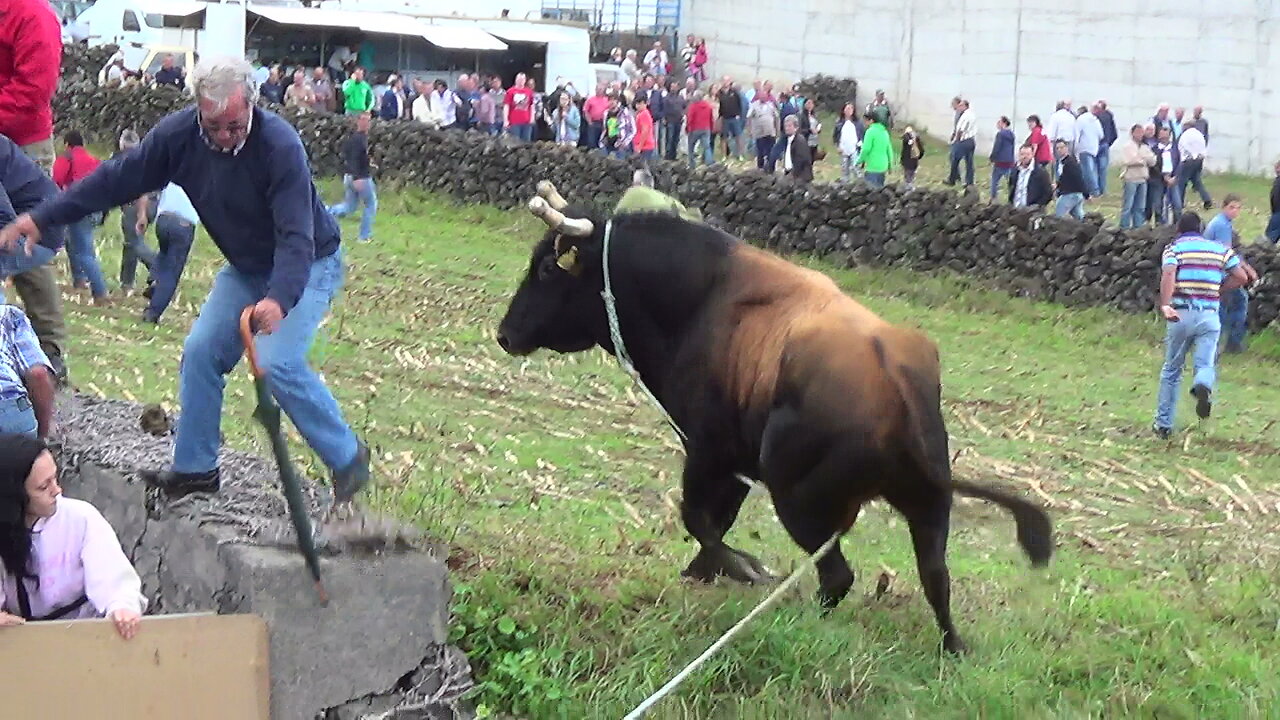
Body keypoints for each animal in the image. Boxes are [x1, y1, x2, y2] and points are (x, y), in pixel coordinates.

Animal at [491, 180, 1049, 650]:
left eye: (546, 269)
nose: (504, 334)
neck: (699, 298)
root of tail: (896, 380)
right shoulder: (735, 460)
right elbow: (717, 518)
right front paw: (701, 573)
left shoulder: (707, 448)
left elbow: (698, 516)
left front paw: (740, 568)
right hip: (926, 507)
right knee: (936, 579)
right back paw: (951, 648)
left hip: (800, 499)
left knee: (837, 576)